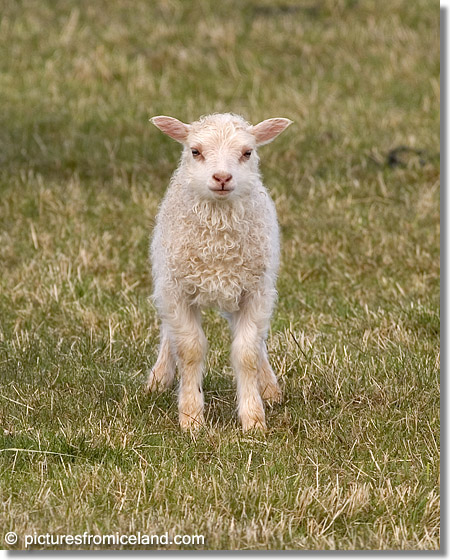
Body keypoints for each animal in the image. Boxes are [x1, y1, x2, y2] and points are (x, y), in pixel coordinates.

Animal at [147, 111, 292, 430]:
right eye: (195, 151)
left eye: (247, 152)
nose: (222, 178)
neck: (218, 245)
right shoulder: (177, 290)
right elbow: (189, 349)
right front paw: (191, 418)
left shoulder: (255, 291)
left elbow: (247, 352)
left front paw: (253, 419)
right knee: (168, 332)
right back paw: (159, 377)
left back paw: (269, 386)